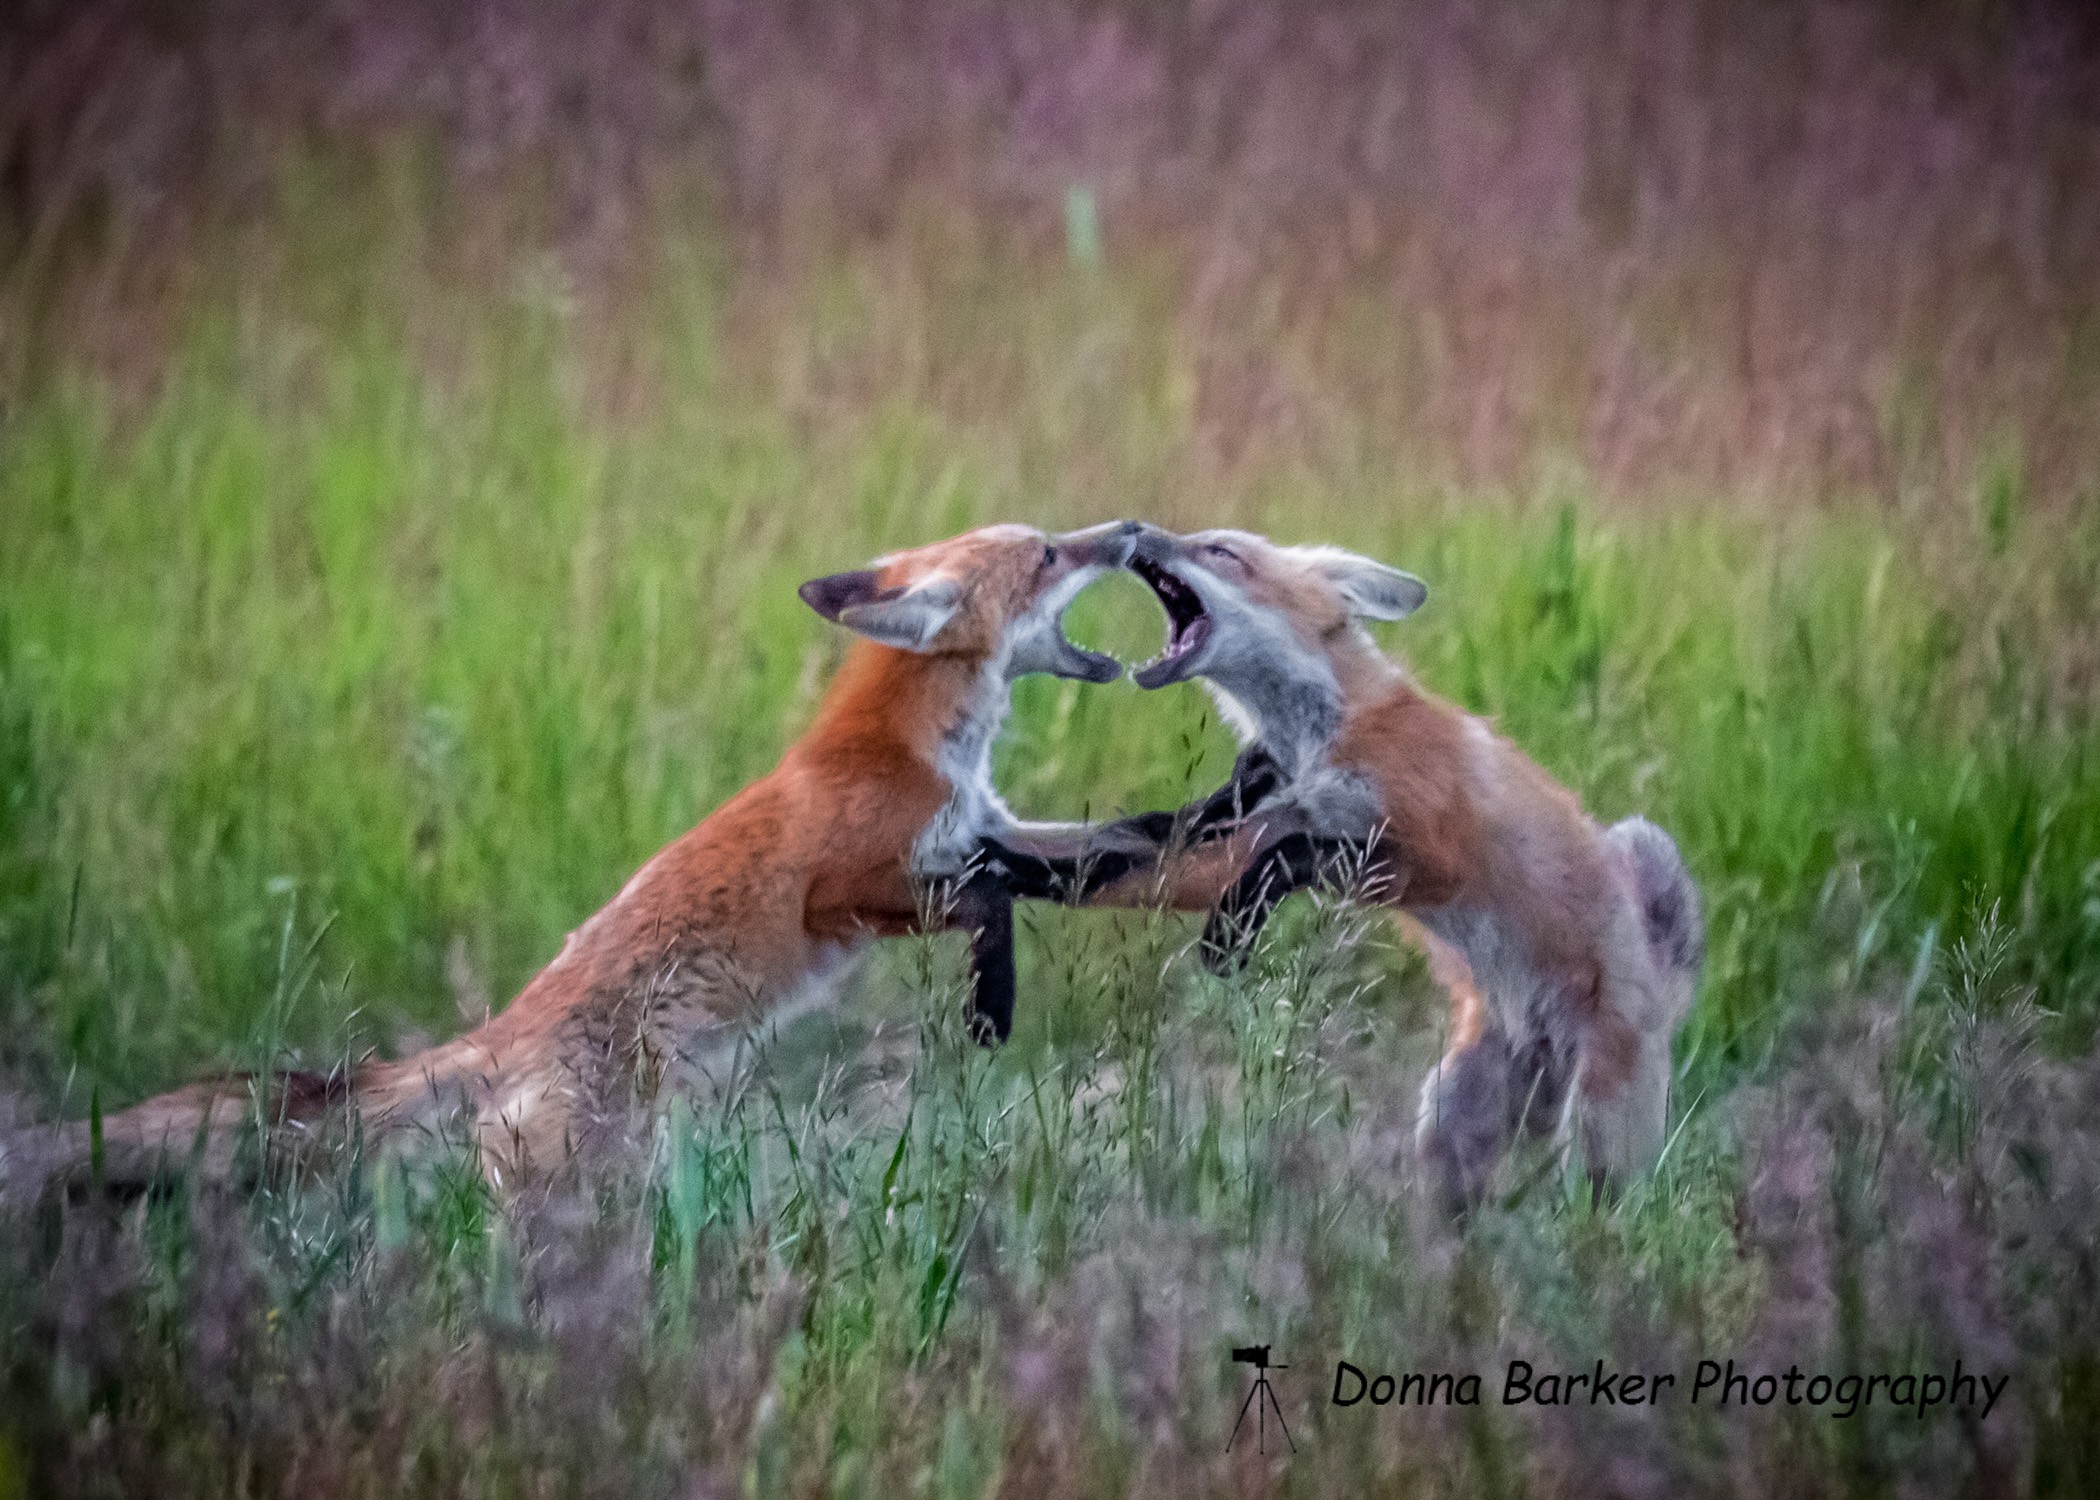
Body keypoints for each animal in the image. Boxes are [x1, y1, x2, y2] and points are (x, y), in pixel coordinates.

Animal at [4, 521, 1152, 1198]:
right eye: (1049, 555)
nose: (1128, 530)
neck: (910, 747)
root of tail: (504, 1034)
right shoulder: (853, 889)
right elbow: (990, 901)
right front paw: (991, 1002)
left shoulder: (986, 825)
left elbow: (1089, 854)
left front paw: (1177, 839)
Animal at [1100, 523, 1703, 1207]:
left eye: (1221, 552)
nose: (1133, 529)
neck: (1331, 732)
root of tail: (1665, 992)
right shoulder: (1287, 811)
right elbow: (1214, 835)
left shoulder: (1434, 860)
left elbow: (1287, 858)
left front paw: (1230, 930)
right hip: (1449, 1123)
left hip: (1596, 1138)